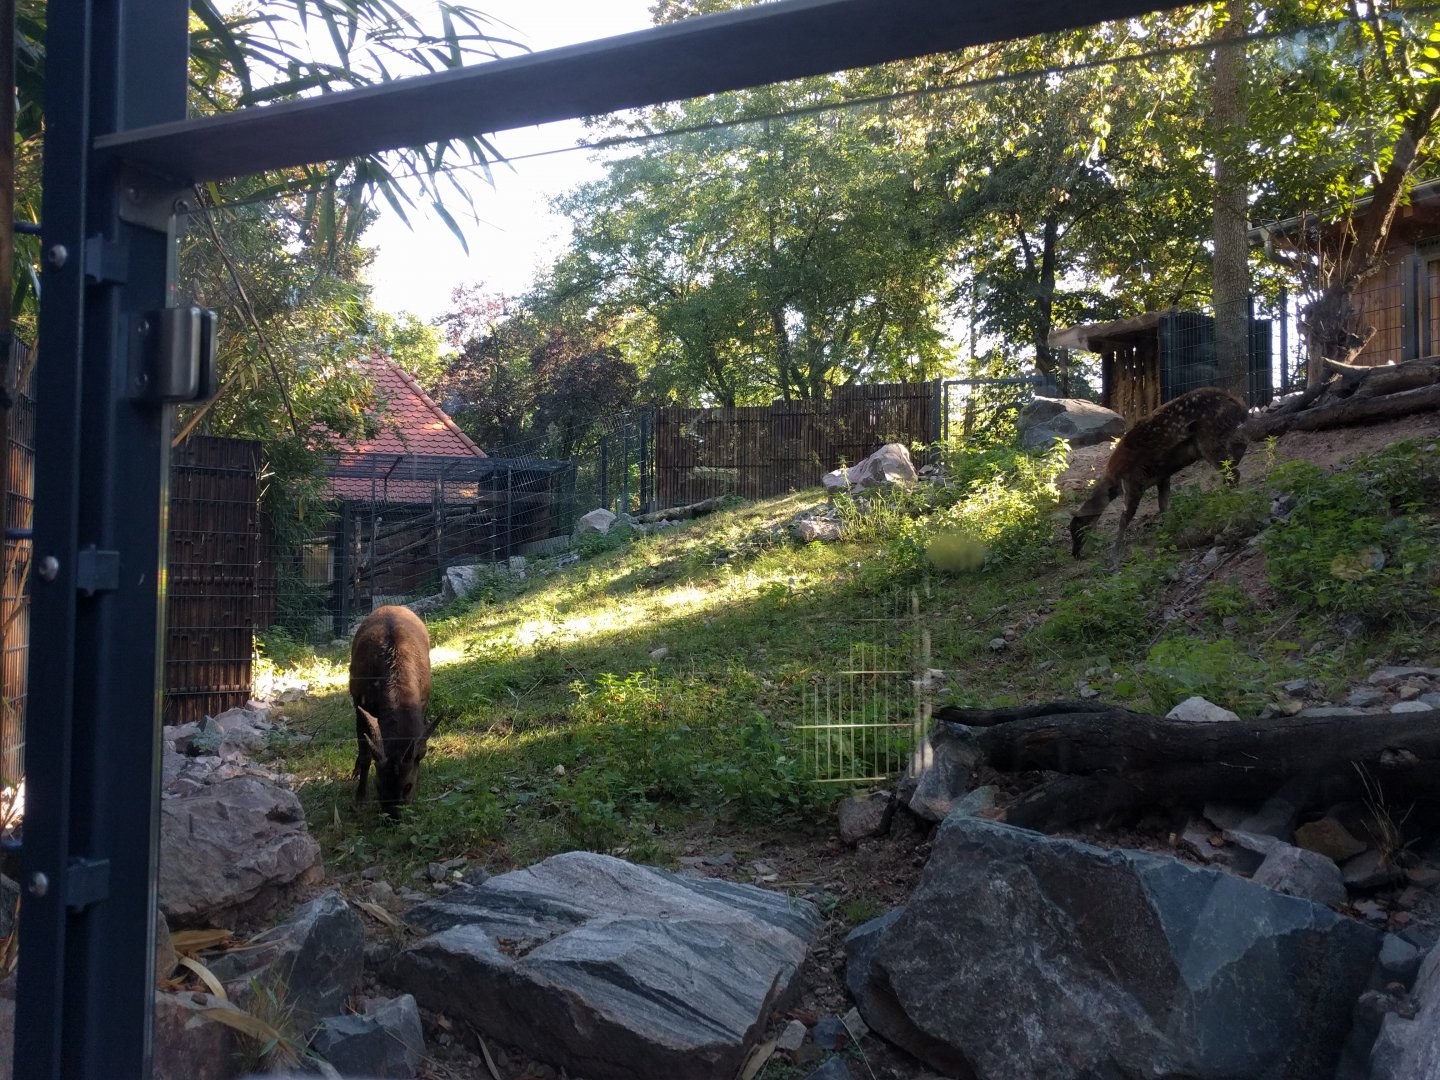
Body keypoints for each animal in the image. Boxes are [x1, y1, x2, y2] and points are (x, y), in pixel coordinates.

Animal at [349, 605, 436, 817]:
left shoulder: (423, 702)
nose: (394, 816)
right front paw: (359, 799)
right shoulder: (359, 703)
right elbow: (366, 755)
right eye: (379, 785)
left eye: (409, 786)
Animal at [1069, 387, 1250, 560]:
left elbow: (1126, 517)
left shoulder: (1134, 480)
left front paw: (1114, 554)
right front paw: (1167, 531)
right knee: (1237, 458)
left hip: (1209, 438)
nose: (1075, 554)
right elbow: (1163, 505)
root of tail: (1240, 405)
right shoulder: (1162, 475)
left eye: (1077, 529)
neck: (1114, 481)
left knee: (1234, 473)